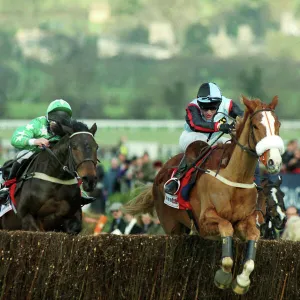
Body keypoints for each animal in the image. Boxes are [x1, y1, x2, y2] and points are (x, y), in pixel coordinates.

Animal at [125, 96, 284, 296]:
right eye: (255, 126)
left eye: (278, 124)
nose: (274, 161)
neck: (235, 177)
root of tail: (160, 174)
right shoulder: (205, 221)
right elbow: (226, 230)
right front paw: (223, 277)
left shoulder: (246, 221)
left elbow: (252, 243)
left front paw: (241, 281)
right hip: (172, 227)